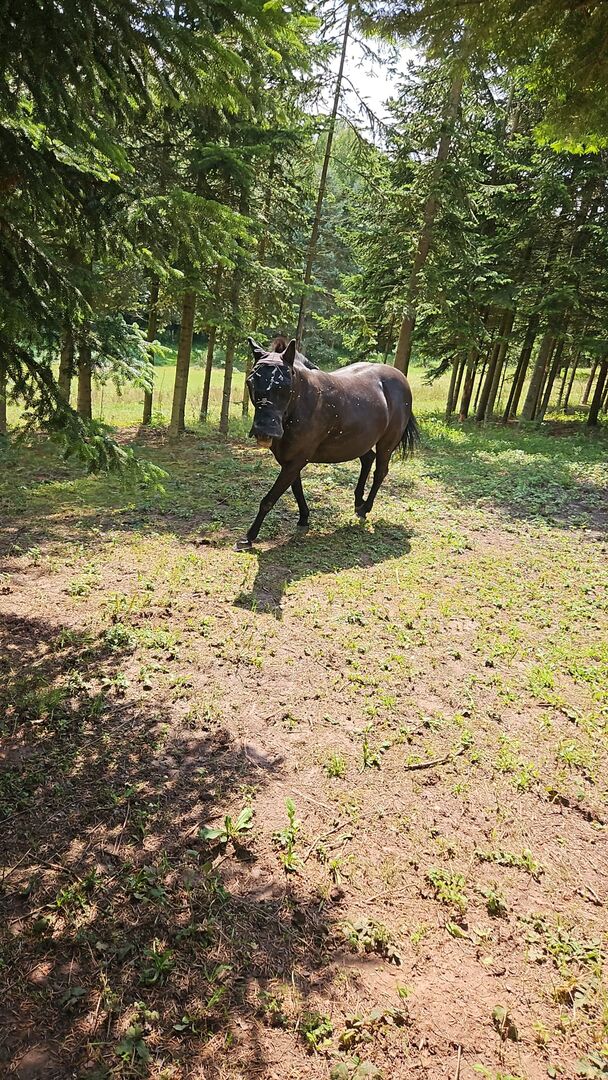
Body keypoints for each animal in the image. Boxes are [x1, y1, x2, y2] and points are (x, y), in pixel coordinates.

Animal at [237, 336, 419, 550]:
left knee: (380, 472)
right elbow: (297, 490)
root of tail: (400, 378)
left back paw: (365, 508)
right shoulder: (290, 461)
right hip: (359, 441)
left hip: (386, 444)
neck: (299, 403)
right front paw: (304, 519)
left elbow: (269, 499)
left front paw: (248, 537)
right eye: (250, 381)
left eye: (286, 385)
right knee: (368, 459)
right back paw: (358, 502)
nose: (264, 431)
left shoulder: (296, 460)